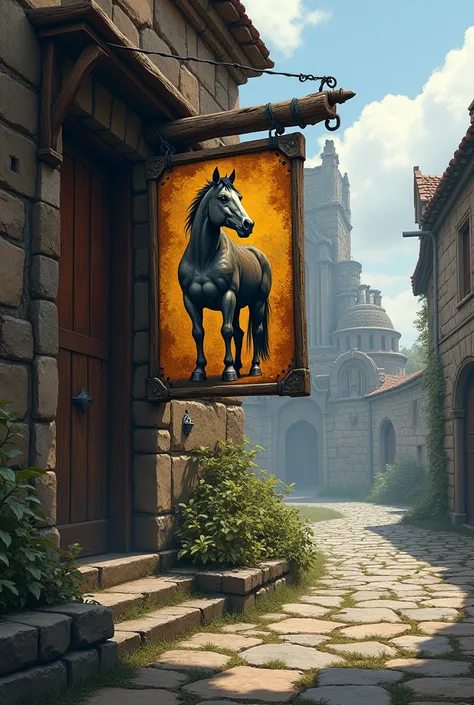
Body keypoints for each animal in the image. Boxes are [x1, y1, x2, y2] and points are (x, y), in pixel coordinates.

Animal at [178, 166, 272, 382]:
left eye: (240, 196)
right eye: (223, 198)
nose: (248, 224)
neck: (203, 259)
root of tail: (259, 255)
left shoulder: (227, 295)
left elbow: (226, 330)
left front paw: (228, 371)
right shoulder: (190, 300)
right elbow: (198, 332)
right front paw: (199, 371)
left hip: (257, 302)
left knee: (257, 331)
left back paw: (254, 368)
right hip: (238, 305)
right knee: (240, 332)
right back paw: (238, 366)